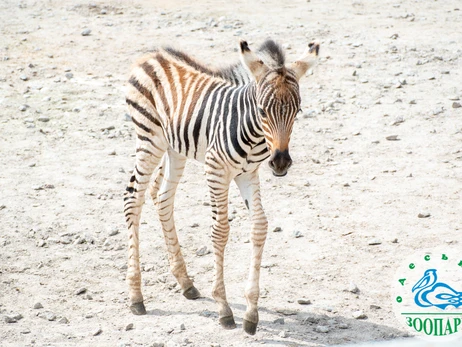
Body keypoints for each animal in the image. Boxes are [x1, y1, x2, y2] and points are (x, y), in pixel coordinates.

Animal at [123, 39, 322, 336]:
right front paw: (224, 309)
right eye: (262, 110)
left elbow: (259, 226)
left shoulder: (248, 174)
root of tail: (152, 55)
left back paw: (186, 282)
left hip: (175, 147)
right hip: (150, 138)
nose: (280, 162)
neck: (252, 133)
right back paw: (136, 296)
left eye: (297, 111)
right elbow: (220, 231)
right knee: (133, 199)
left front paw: (251, 313)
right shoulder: (216, 169)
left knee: (163, 197)